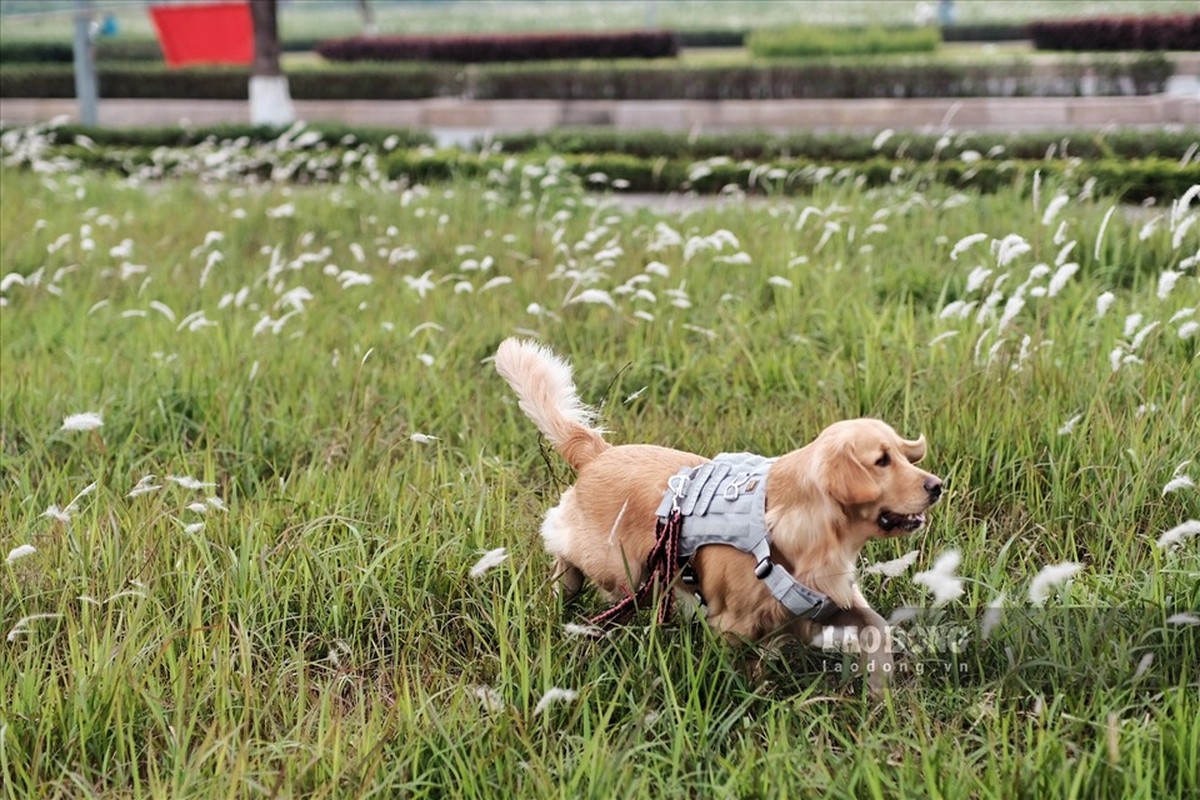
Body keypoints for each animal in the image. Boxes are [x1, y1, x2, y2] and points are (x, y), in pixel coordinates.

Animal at [492, 335, 940, 695]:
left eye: (902, 456)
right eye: (881, 461)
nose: (937, 486)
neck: (812, 529)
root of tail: (598, 453)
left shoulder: (828, 600)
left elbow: (876, 627)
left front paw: (881, 690)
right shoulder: (735, 624)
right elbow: (747, 671)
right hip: (615, 564)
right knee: (564, 553)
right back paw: (561, 592)